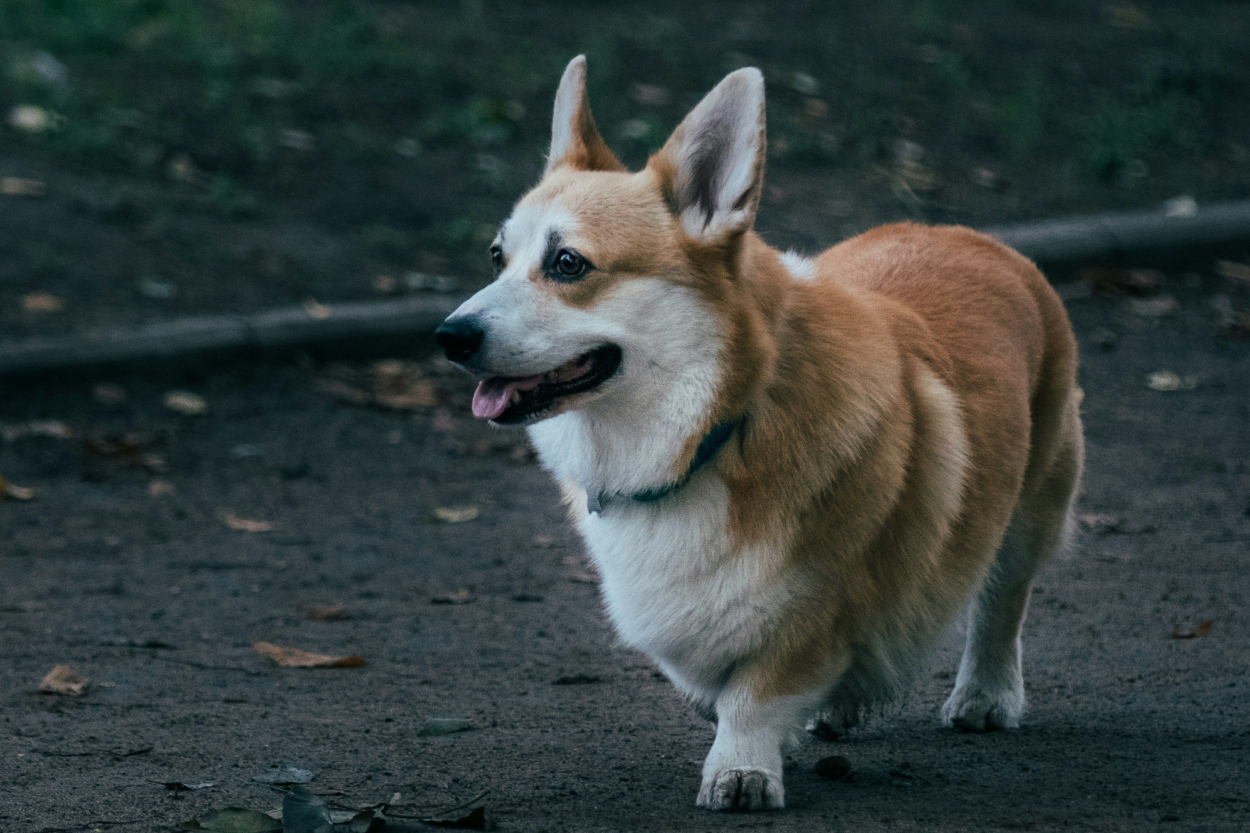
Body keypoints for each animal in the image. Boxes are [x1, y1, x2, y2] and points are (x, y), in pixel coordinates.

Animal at [437, 55, 1085, 805]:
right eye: (496, 258)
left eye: (568, 263)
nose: (448, 336)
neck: (712, 431)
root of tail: (969, 235)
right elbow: (706, 676)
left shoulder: (814, 605)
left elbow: (754, 692)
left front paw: (741, 769)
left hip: (1032, 503)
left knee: (1003, 599)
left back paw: (985, 694)